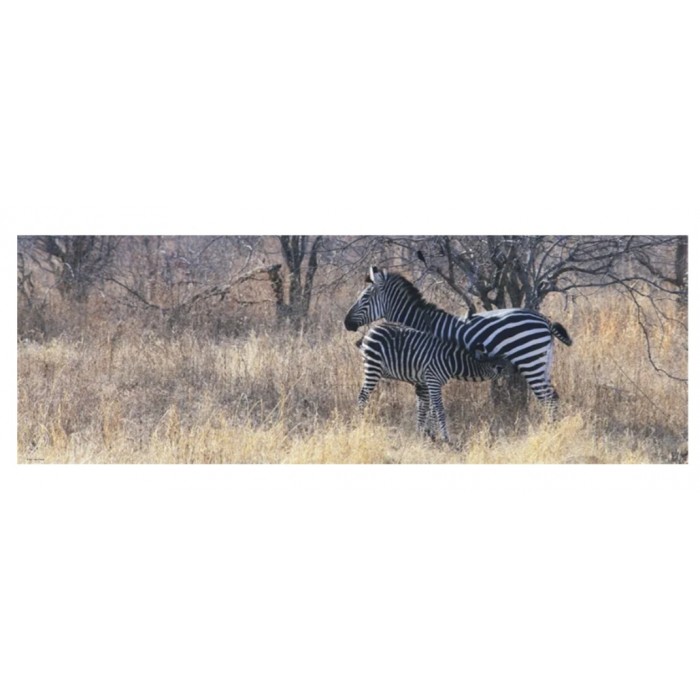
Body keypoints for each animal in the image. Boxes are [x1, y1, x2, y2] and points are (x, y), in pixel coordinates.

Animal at [344, 266, 572, 414]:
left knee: (547, 399)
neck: (421, 322)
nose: (346, 323)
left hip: (530, 360)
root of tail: (543, 319)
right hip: (542, 362)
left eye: (365, 298)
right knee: (553, 397)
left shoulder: (424, 366)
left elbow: (427, 405)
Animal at [355, 322, 503, 442]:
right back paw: (361, 423)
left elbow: (427, 408)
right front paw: (444, 437)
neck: (451, 362)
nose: (505, 375)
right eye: (497, 367)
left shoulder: (428, 382)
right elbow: (438, 409)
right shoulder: (433, 380)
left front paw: (428, 433)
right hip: (373, 367)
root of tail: (372, 329)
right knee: (362, 396)